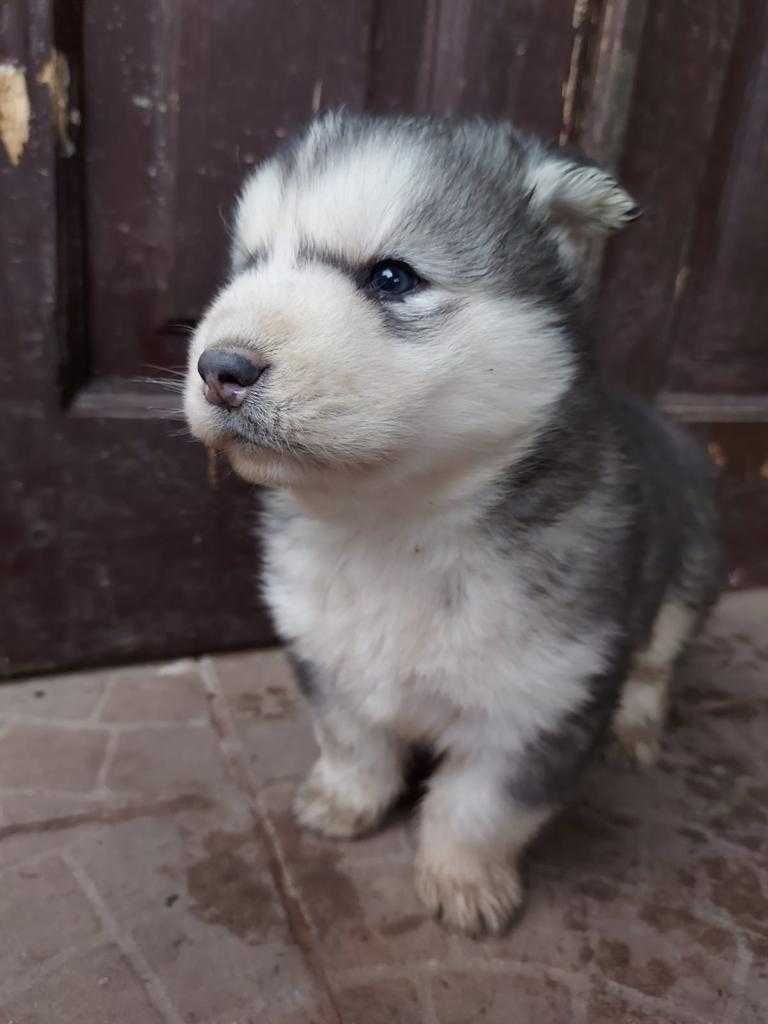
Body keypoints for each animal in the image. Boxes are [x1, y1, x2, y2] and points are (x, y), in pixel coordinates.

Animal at [183, 112, 724, 937]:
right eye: (248, 266)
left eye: (392, 277)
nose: (221, 368)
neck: (392, 526)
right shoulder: (326, 652)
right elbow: (352, 742)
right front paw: (344, 799)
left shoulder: (541, 701)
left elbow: (480, 807)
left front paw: (465, 877)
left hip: (689, 570)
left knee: (656, 662)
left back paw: (637, 723)